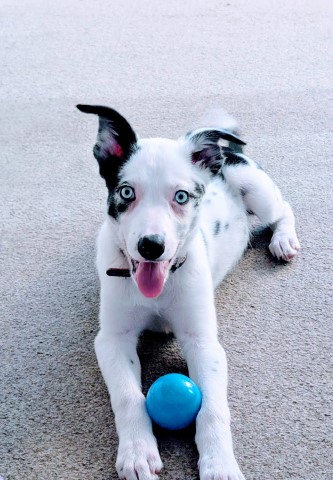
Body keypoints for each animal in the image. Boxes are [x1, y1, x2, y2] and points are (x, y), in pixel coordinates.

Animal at [76, 103, 300, 478]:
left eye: (181, 196)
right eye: (126, 192)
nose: (151, 246)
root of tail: (226, 149)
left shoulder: (204, 342)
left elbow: (212, 407)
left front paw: (220, 462)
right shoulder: (111, 339)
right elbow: (128, 395)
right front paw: (137, 452)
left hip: (253, 185)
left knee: (282, 209)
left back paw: (284, 239)